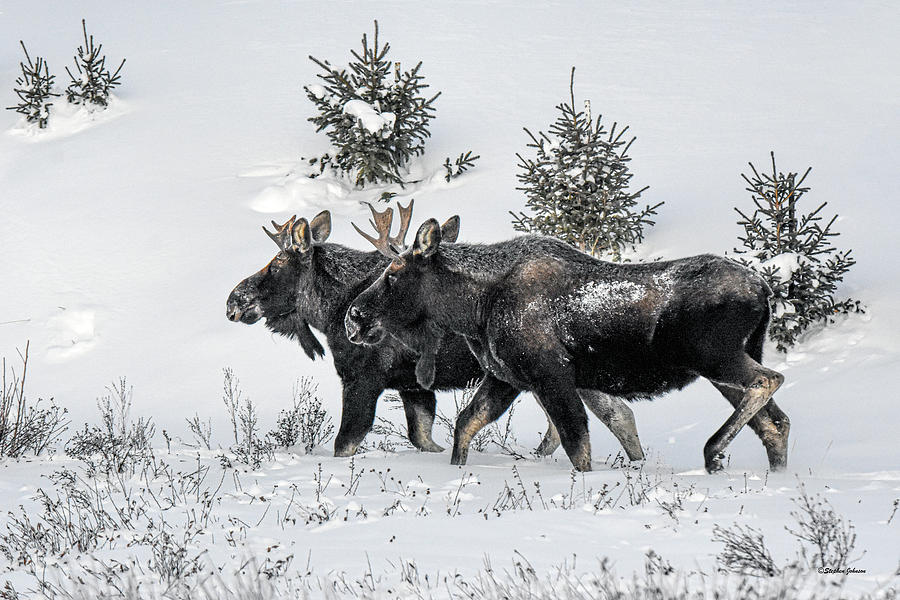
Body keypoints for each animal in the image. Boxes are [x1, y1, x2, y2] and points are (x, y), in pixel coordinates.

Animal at [227, 202, 648, 460]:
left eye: (276, 264)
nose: (233, 300)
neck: (330, 311)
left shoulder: (363, 380)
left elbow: (346, 441)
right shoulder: (413, 388)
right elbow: (424, 438)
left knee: (599, 418)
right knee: (616, 415)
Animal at [344, 212, 788, 474]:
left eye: (393, 273)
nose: (354, 316)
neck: (474, 308)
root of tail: (765, 291)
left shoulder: (550, 375)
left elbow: (577, 443)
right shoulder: (506, 377)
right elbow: (465, 424)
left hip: (714, 356)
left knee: (769, 380)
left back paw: (713, 452)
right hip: (728, 363)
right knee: (776, 422)